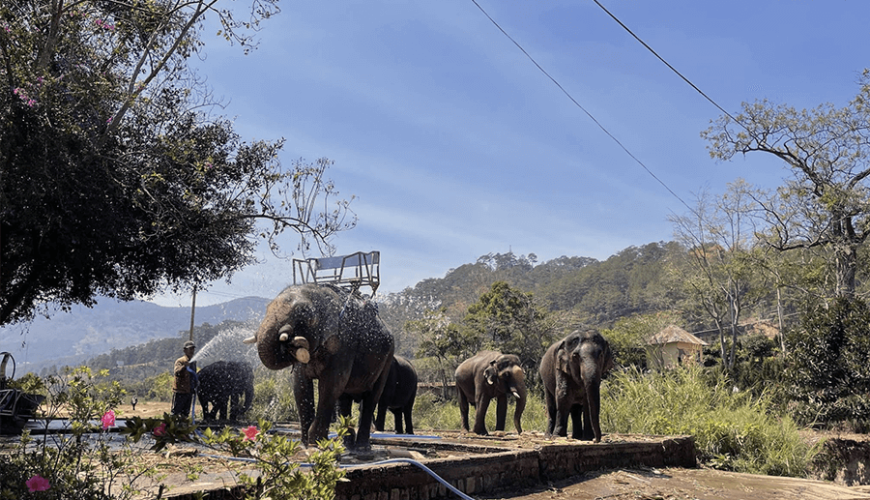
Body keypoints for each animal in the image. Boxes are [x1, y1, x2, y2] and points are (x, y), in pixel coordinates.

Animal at [243, 284, 394, 450]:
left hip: (388, 358)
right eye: (267, 308)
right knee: (344, 398)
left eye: (306, 315)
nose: (290, 338)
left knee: (371, 397)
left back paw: (362, 448)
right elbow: (300, 387)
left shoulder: (344, 345)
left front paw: (316, 444)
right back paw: (347, 445)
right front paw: (304, 446)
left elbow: (330, 386)